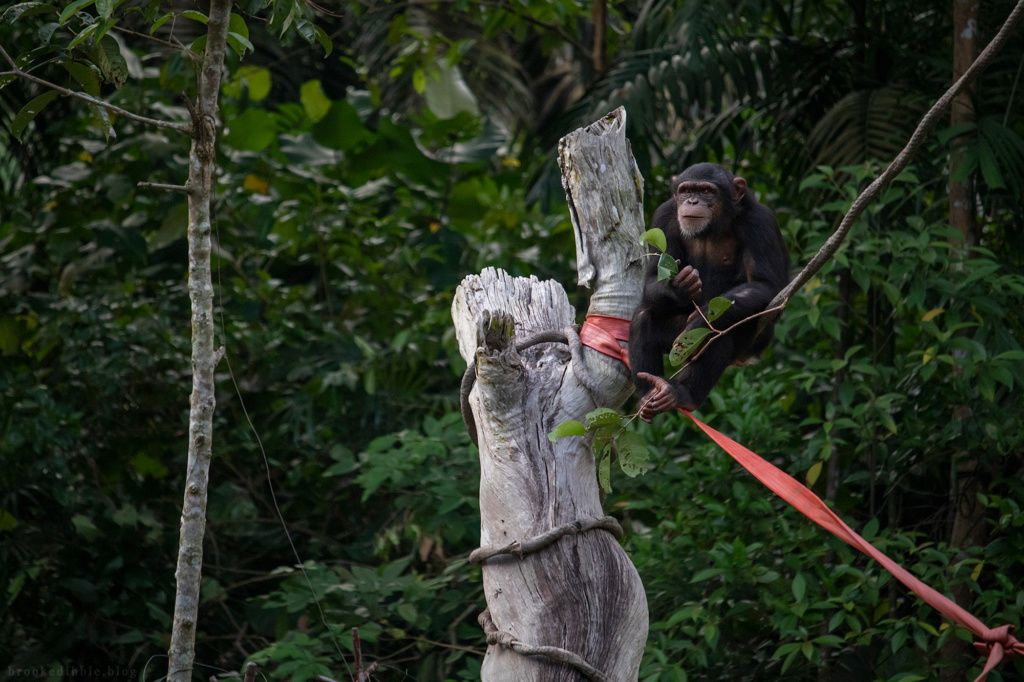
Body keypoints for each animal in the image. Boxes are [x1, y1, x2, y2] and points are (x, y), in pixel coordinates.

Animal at [622, 163, 790, 419]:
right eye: (686, 190)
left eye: (706, 191)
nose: (692, 200)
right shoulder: (664, 217)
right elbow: (652, 277)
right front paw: (679, 287)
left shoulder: (760, 222)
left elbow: (765, 284)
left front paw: (699, 322)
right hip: (675, 346)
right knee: (644, 315)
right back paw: (649, 395)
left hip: (746, 342)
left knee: (719, 333)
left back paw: (683, 395)